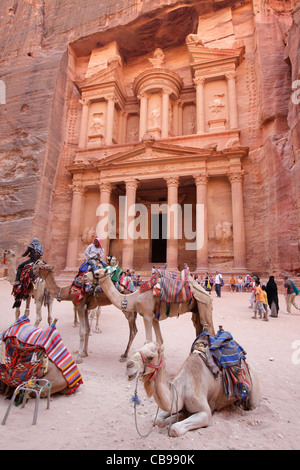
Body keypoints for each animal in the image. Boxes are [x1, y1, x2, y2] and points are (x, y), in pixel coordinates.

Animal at [125, 342, 260, 436]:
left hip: (253, 393)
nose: (128, 365)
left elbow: (174, 428)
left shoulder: (206, 413)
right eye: (138, 350)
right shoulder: (177, 403)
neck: (182, 387)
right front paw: (172, 418)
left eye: (150, 356)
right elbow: (157, 419)